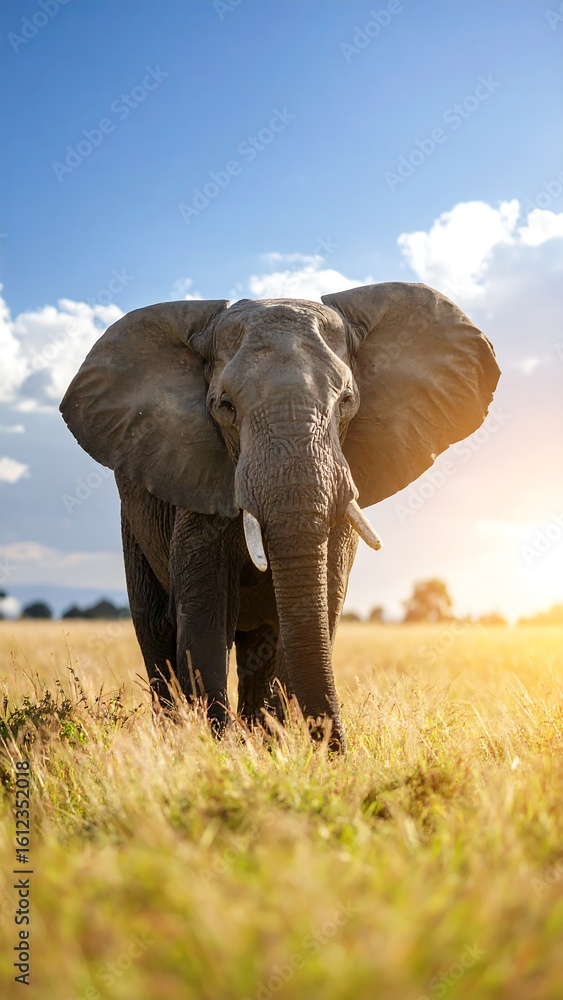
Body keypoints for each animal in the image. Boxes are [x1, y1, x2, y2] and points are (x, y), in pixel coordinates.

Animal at [60, 282, 500, 751]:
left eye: (347, 401)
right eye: (225, 406)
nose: (338, 752)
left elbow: (321, 604)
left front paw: (275, 749)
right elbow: (204, 615)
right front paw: (217, 750)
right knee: (155, 627)